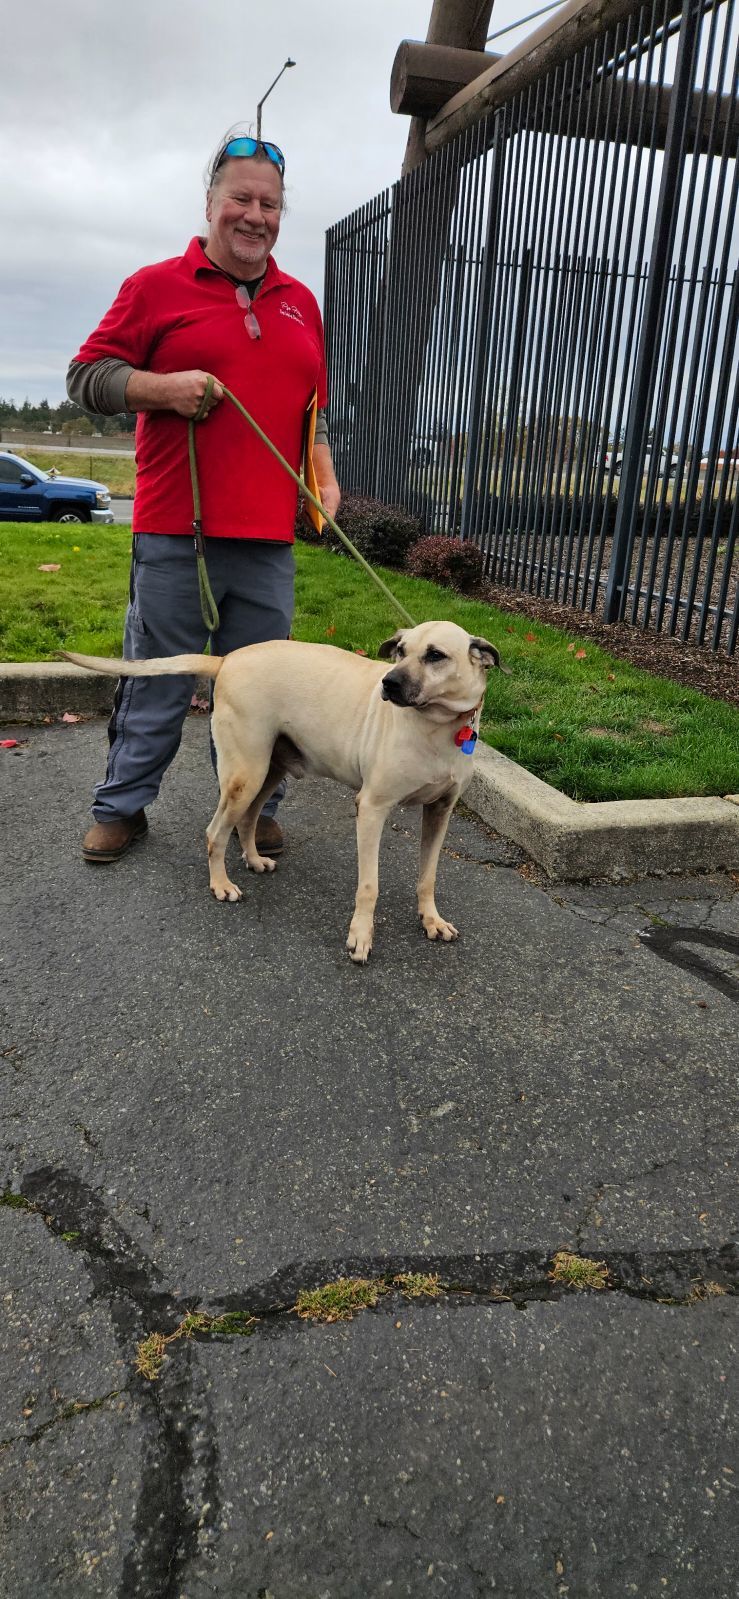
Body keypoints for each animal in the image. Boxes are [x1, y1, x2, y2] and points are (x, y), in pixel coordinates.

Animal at [64, 617, 508, 953]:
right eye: (400, 650)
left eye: (435, 655)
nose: (389, 683)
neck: (437, 725)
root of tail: (227, 658)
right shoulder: (372, 809)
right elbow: (369, 884)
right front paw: (361, 936)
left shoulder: (440, 812)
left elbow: (428, 875)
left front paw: (431, 919)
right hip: (245, 774)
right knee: (214, 832)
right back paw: (221, 884)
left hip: (268, 772)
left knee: (246, 820)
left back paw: (253, 859)